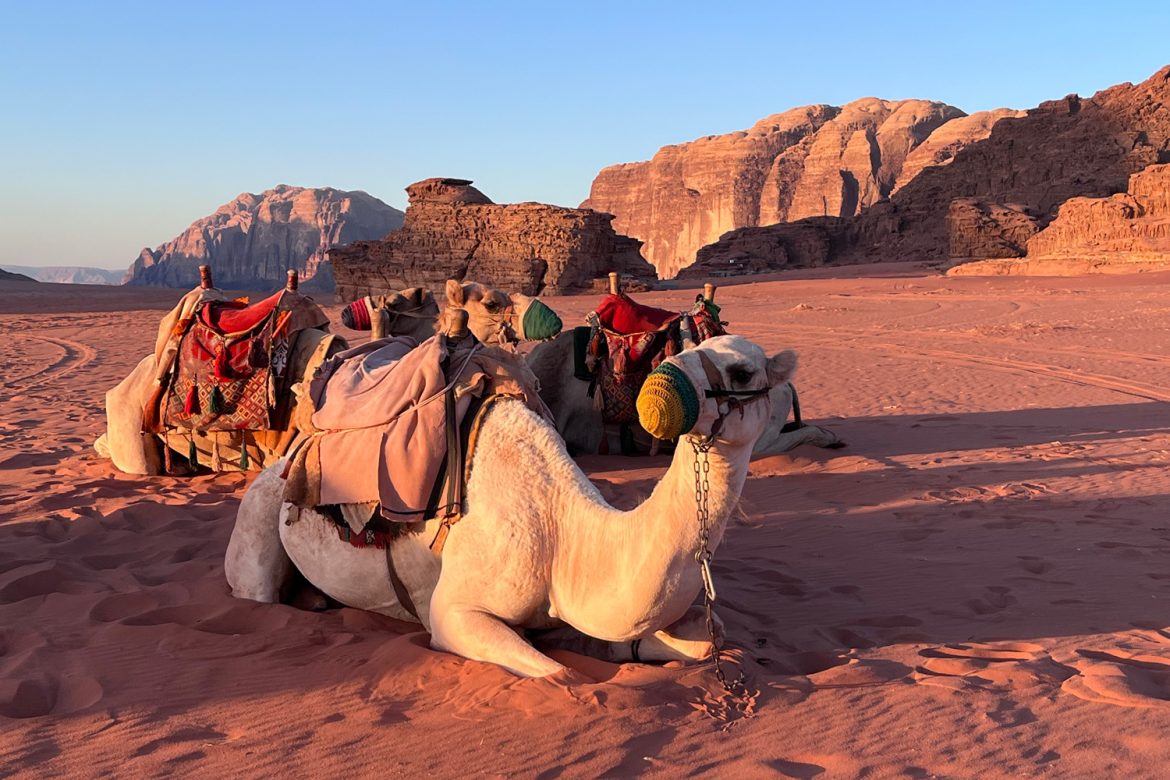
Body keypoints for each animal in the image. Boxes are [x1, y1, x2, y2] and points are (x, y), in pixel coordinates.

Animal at [226, 333, 795, 677]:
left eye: (742, 370)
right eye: (684, 349)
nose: (660, 385)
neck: (565, 534)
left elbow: (702, 642)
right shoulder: (454, 612)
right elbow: (560, 671)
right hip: (258, 521)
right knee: (257, 591)